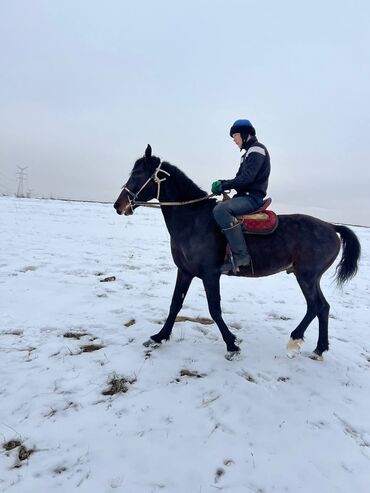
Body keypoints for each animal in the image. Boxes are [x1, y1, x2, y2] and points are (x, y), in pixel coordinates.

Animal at [113, 144, 362, 360]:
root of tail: (330, 226)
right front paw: (159, 337)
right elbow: (175, 304)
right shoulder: (185, 272)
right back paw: (319, 348)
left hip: (307, 277)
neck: (193, 220)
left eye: (138, 174)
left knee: (315, 306)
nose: (119, 205)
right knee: (323, 307)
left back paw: (295, 340)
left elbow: (214, 309)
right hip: (311, 278)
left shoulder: (210, 275)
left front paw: (231, 344)